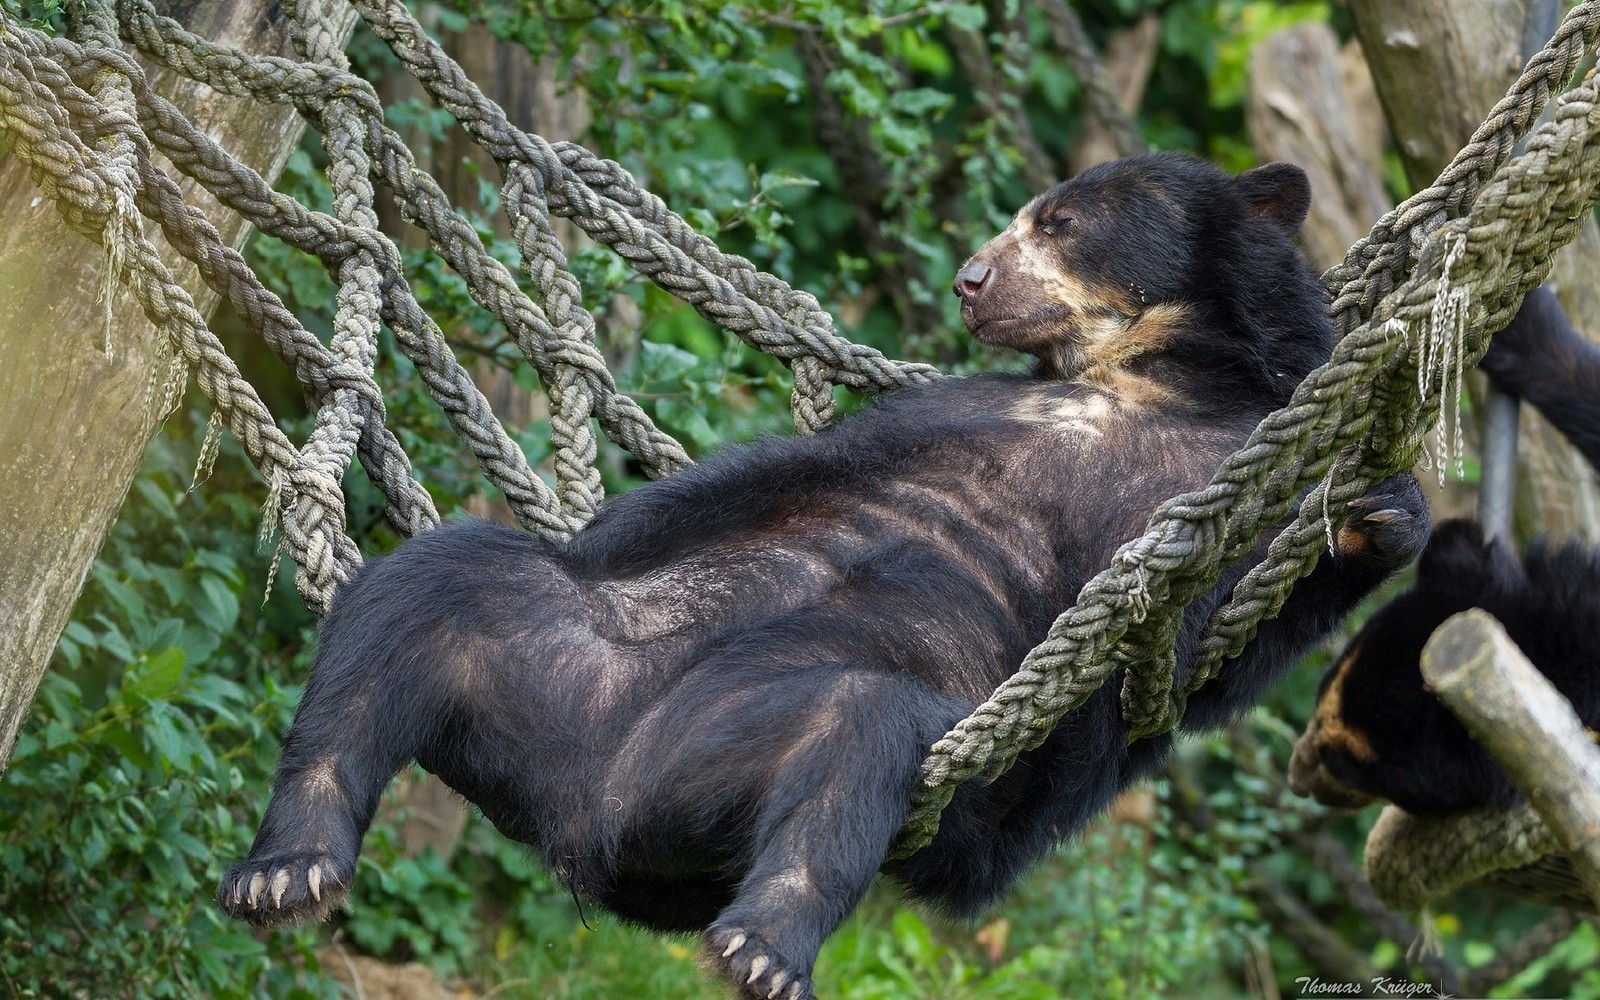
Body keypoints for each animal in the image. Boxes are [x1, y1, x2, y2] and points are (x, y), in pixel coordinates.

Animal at [216, 150, 1427, 998]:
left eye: (1060, 221)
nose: (969, 278)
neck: (1145, 377)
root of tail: (581, 808)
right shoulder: (953, 408)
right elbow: (773, 473)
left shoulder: (1232, 472)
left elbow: (1216, 647)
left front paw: (1381, 515)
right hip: (554, 649)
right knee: (425, 592)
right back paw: (287, 866)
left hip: (752, 746)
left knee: (858, 742)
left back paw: (760, 945)